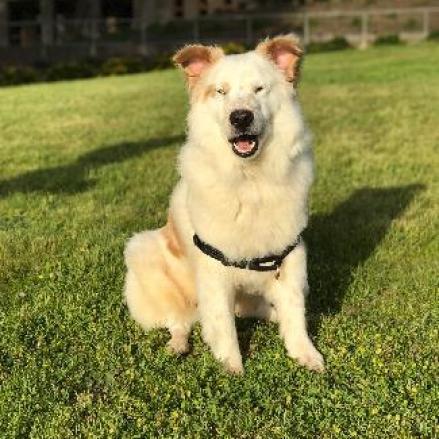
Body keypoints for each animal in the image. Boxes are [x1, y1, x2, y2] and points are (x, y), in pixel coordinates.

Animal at [124, 34, 324, 374]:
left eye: (259, 89)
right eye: (221, 91)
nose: (240, 116)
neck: (249, 179)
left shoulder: (290, 258)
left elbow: (295, 315)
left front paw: (306, 355)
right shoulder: (214, 270)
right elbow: (224, 326)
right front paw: (232, 369)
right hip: (143, 250)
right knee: (180, 320)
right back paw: (177, 345)